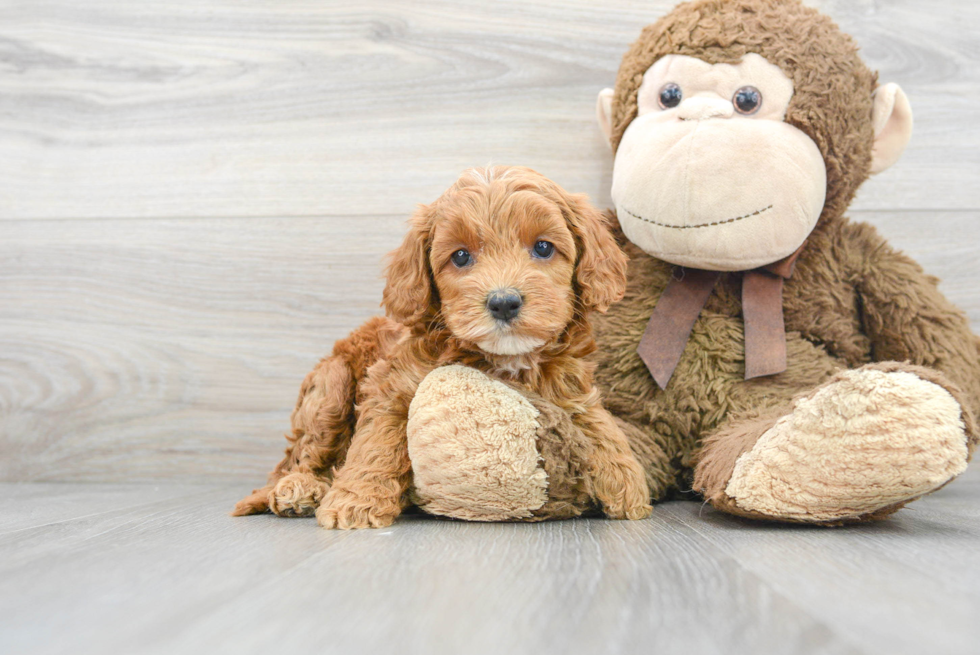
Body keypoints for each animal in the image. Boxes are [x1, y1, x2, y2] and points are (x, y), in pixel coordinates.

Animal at [234, 165, 656, 528]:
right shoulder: (392, 384)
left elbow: (596, 420)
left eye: (543, 248)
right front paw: (356, 501)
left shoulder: (569, 383)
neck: (504, 357)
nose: (504, 302)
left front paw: (626, 480)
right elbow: (376, 443)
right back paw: (300, 488)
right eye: (461, 256)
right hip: (331, 386)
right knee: (300, 456)